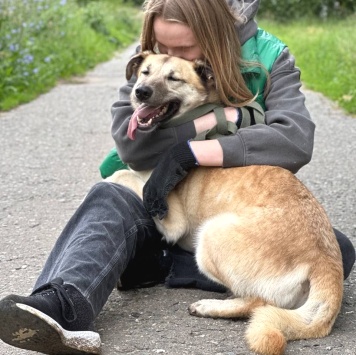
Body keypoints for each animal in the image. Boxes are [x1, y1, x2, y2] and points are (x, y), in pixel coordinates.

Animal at [107, 52, 344, 355]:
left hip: (210, 237)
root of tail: (326, 263)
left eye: (174, 78)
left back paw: (209, 306)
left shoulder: (169, 218)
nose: (141, 92)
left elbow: (122, 176)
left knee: (256, 302)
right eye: (145, 72)